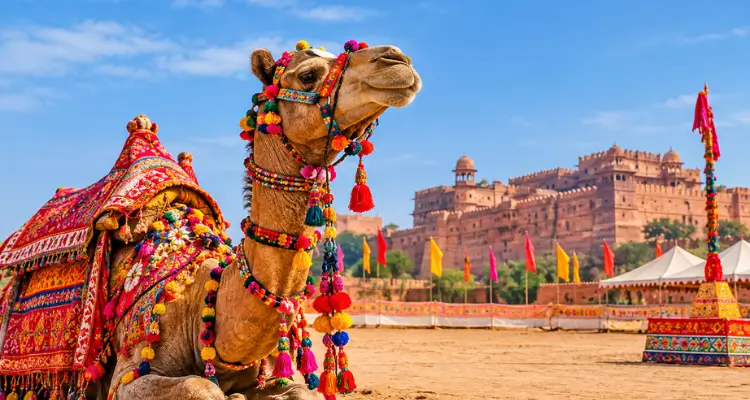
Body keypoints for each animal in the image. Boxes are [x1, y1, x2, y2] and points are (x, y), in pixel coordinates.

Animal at [84, 41, 421, 399]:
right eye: (307, 75)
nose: (397, 60)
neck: (201, 305)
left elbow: (302, 391)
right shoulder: (127, 375)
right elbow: (202, 387)